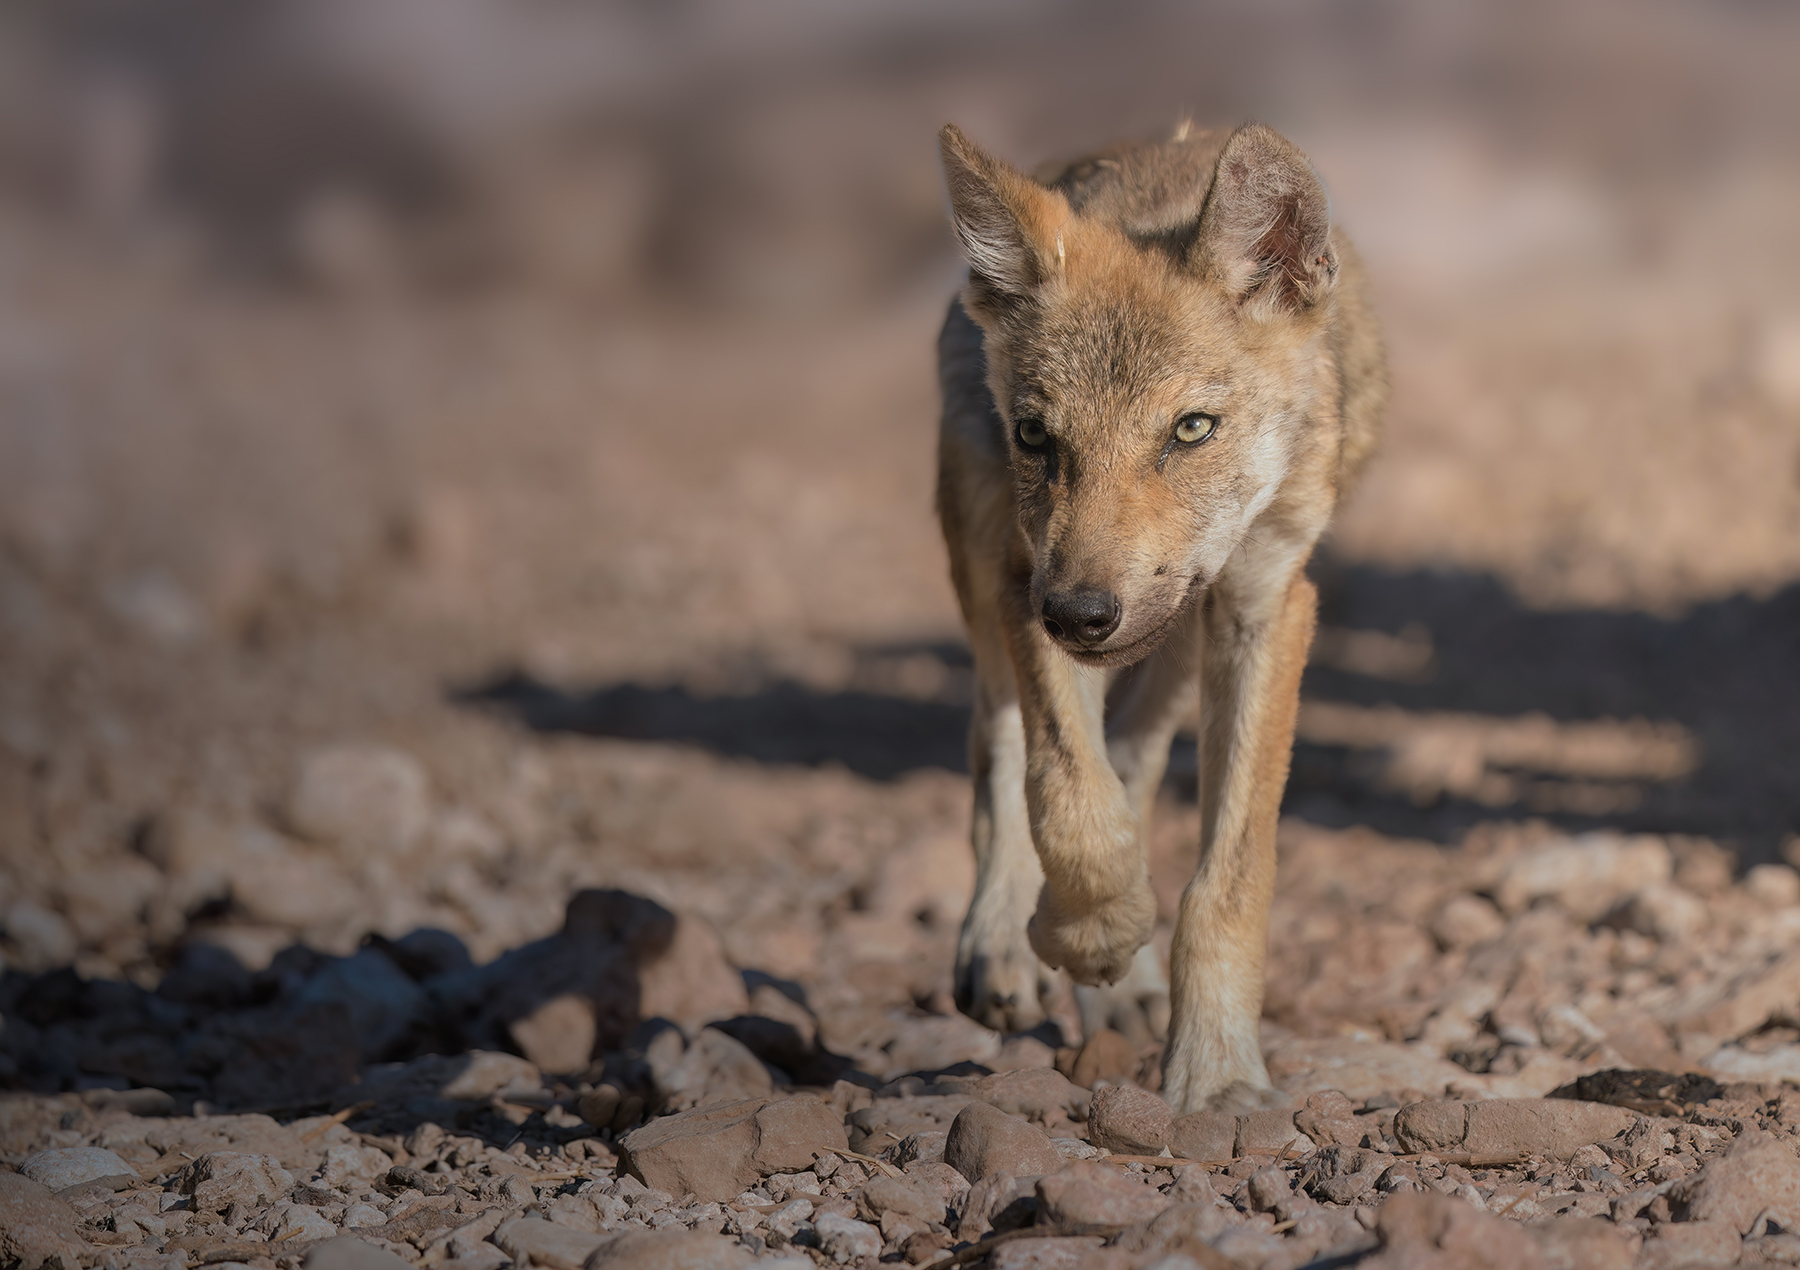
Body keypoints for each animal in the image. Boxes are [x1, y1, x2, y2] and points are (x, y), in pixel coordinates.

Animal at [934, 121, 1385, 1112]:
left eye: (1190, 429)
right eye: (1037, 437)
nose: (1082, 613)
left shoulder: (1265, 606)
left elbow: (1228, 879)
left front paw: (1215, 1071)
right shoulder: (1029, 577)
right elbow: (1072, 802)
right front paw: (1088, 936)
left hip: (1179, 643)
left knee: (1131, 759)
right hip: (982, 553)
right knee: (1001, 750)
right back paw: (1002, 942)